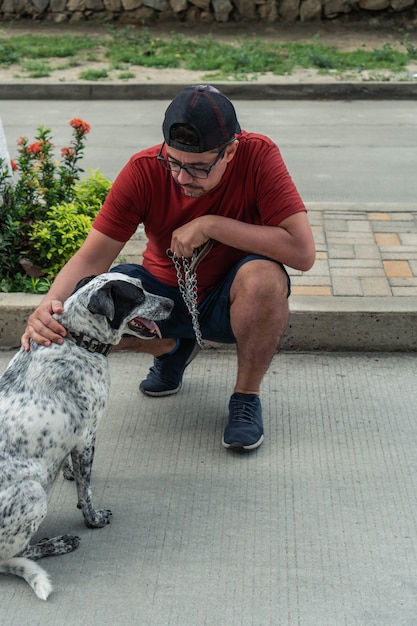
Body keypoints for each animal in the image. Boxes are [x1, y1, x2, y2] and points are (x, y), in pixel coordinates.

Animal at [0, 270, 173, 596]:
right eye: (137, 296)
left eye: (143, 287)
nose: (172, 302)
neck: (77, 339)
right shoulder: (87, 438)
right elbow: (86, 491)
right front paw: (94, 519)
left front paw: (67, 471)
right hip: (34, 494)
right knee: (12, 556)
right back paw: (57, 543)